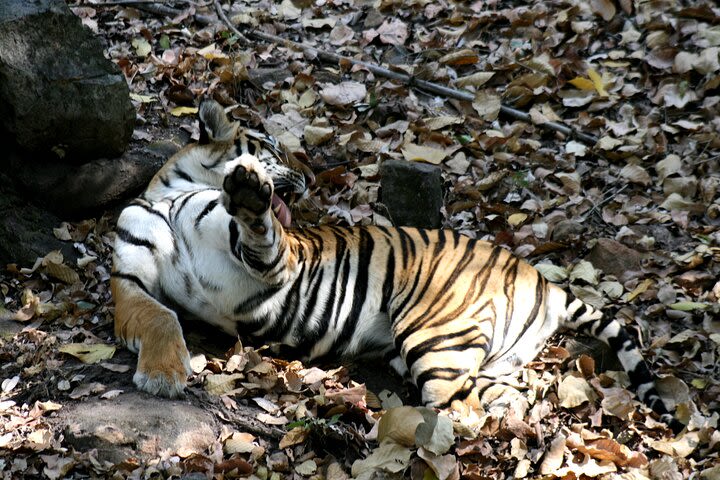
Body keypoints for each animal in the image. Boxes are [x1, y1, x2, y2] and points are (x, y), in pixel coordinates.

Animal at [112, 99, 680, 430]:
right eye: (272, 142)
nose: (309, 179)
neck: (170, 192)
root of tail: (539, 276)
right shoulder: (129, 281)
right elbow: (161, 315)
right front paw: (163, 375)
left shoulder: (275, 259)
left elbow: (258, 226)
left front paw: (250, 188)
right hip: (466, 355)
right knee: (507, 398)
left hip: (433, 337)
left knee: (459, 411)